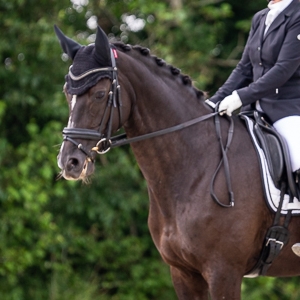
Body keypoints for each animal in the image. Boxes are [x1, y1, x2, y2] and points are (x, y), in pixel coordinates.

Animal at [54, 26, 300, 300]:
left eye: (99, 94)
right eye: (67, 93)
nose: (69, 163)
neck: (196, 166)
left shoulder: (224, 272)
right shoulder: (183, 273)